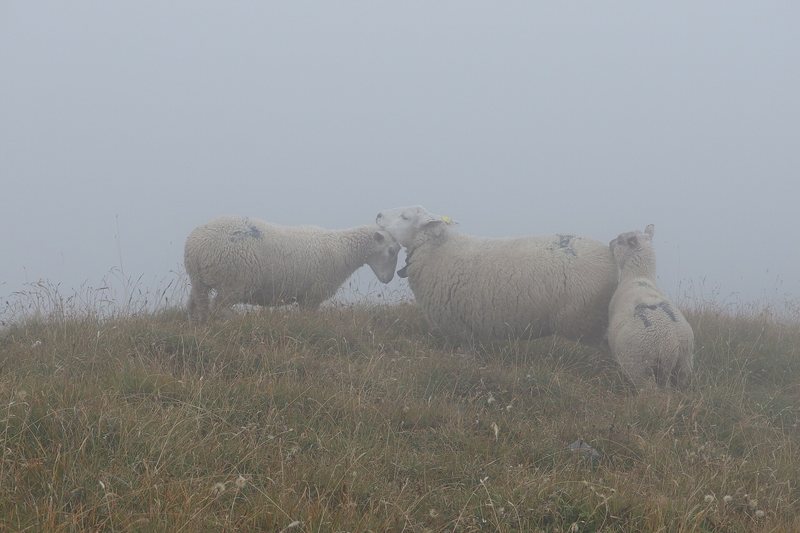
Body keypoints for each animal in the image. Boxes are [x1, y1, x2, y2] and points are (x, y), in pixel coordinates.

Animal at [184, 215, 401, 320]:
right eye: (391, 250)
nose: (388, 279)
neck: (343, 249)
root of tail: (198, 245)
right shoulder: (312, 296)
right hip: (234, 283)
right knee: (218, 308)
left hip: (198, 280)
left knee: (197, 304)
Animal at [375, 205, 618, 346]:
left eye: (405, 217)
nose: (378, 214)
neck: (438, 249)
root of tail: (611, 257)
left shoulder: (458, 329)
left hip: (587, 321)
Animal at [607, 225, 694, 389]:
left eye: (621, 239)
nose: (610, 243)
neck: (638, 276)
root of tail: (672, 344)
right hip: (683, 367)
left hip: (639, 366)